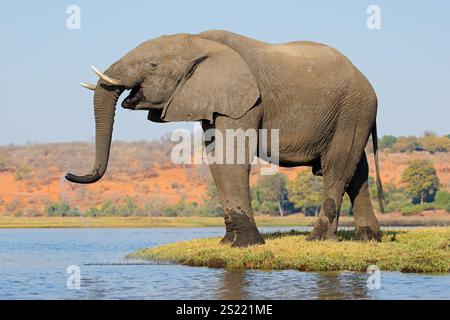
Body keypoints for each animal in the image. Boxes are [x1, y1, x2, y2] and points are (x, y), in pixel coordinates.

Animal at [66, 30, 384, 246]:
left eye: (153, 65)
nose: (69, 175)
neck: (199, 41)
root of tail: (366, 81)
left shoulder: (246, 99)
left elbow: (232, 156)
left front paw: (246, 245)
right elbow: (216, 159)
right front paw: (227, 243)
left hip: (354, 108)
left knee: (337, 167)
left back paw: (318, 240)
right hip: (352, 112)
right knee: (357, 170)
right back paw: (369, 238)